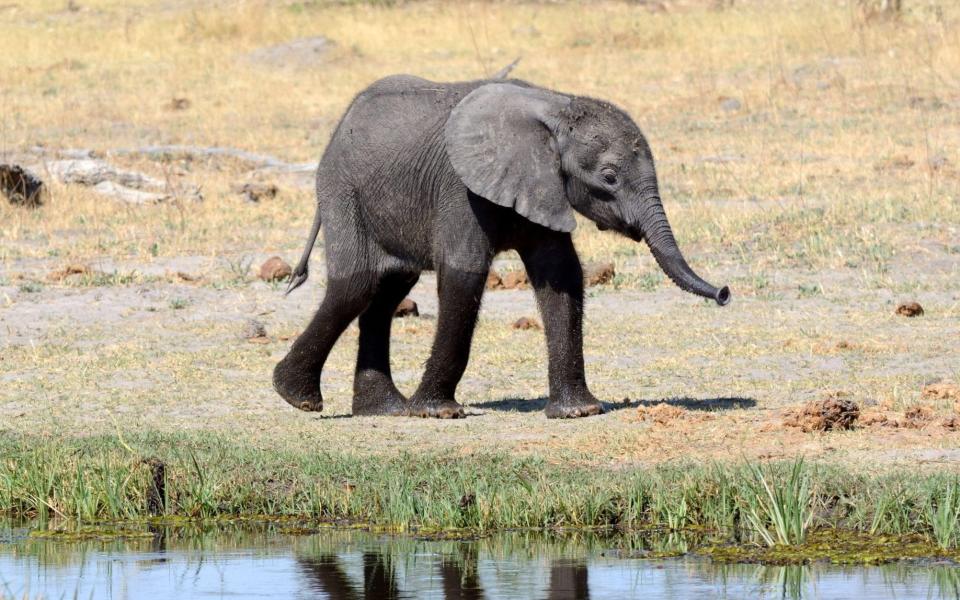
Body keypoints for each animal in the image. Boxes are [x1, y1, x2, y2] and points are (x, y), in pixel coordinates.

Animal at [270, 75, 728, 420]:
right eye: (610, 177)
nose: (724, 293)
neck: (555, 109)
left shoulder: (543, 185)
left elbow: (561, 275)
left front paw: (579, 412)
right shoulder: (459, 187)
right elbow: (465, 272)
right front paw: (439, 413)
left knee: (388, 290)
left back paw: (384, 410)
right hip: (341, 189)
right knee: (357, 285)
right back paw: (298, 398)